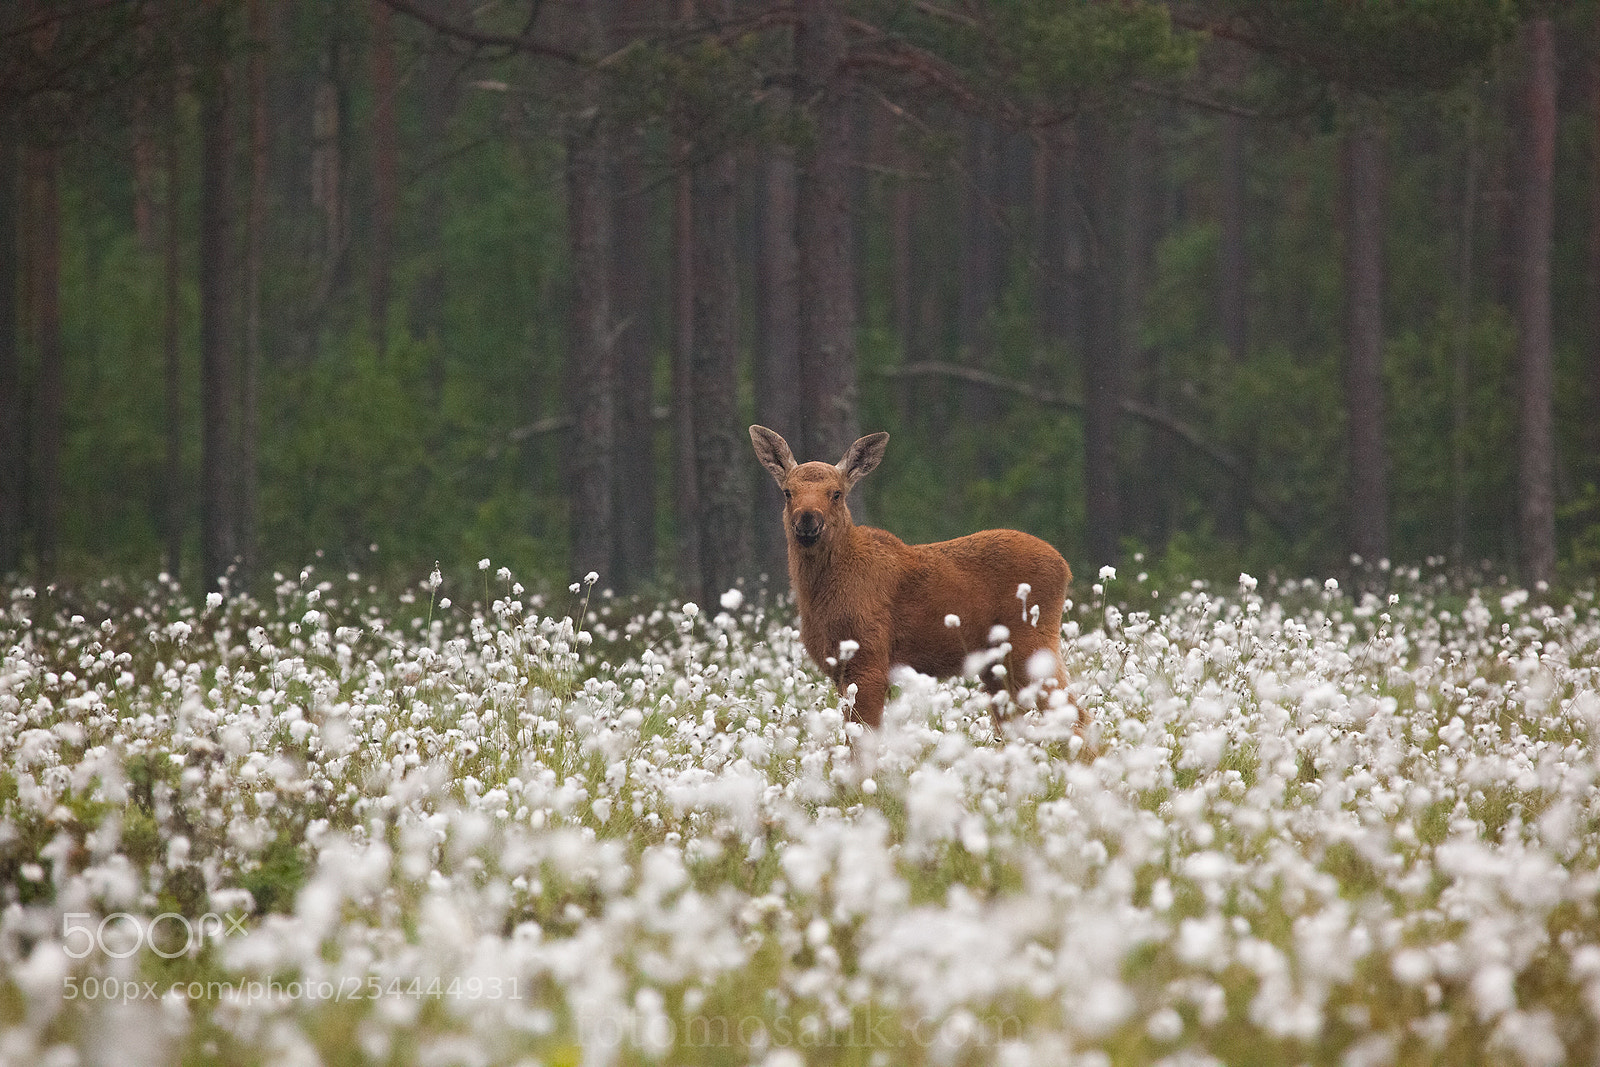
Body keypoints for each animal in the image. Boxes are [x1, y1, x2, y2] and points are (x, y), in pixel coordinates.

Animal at [750, 425, 1092, 753]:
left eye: (836, 493)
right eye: (788, 492)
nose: (807, 520)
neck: (821, 596)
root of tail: (1065, 567)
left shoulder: (870, 658)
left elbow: (863, 745)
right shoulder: (840, 670)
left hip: (1031, 646)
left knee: (1078, 717)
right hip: (996, 665)